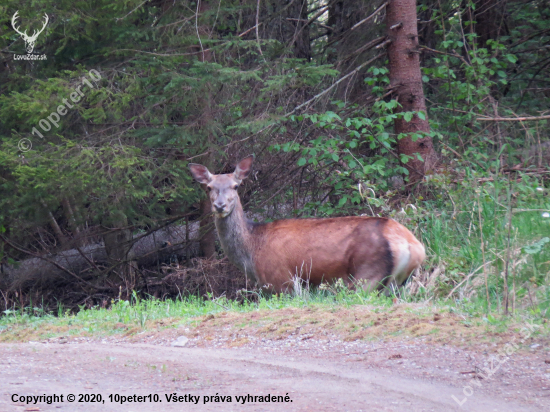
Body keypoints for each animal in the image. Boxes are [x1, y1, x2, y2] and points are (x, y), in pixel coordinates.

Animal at [190, 155, 426, 292]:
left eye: (236, 185)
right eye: (209, 187)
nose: (219, 205)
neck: (252, 249)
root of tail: (411, 245)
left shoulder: (282, 280)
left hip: (367, 273)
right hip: (401, 281)